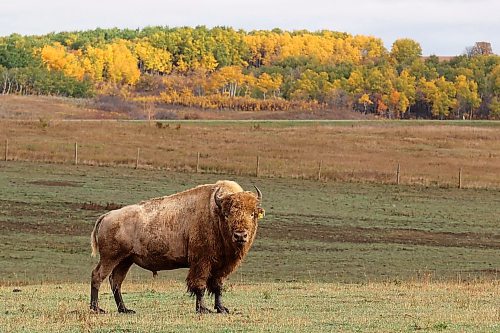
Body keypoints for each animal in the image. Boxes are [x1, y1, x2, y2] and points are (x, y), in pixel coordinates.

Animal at [89, 180, 264, 312]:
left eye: (252, 214)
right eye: (227, 215)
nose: (240, 235)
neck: (215, 214)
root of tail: (107, 216)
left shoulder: (222, 267)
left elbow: (218, 287)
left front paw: (221, 309)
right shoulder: (201, 263)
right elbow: (200, 285)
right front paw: (203, 309)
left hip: (125, 260)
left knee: (116, 281)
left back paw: (125, 309)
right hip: (110, 258)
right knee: (98, 276)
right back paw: (97, 309)